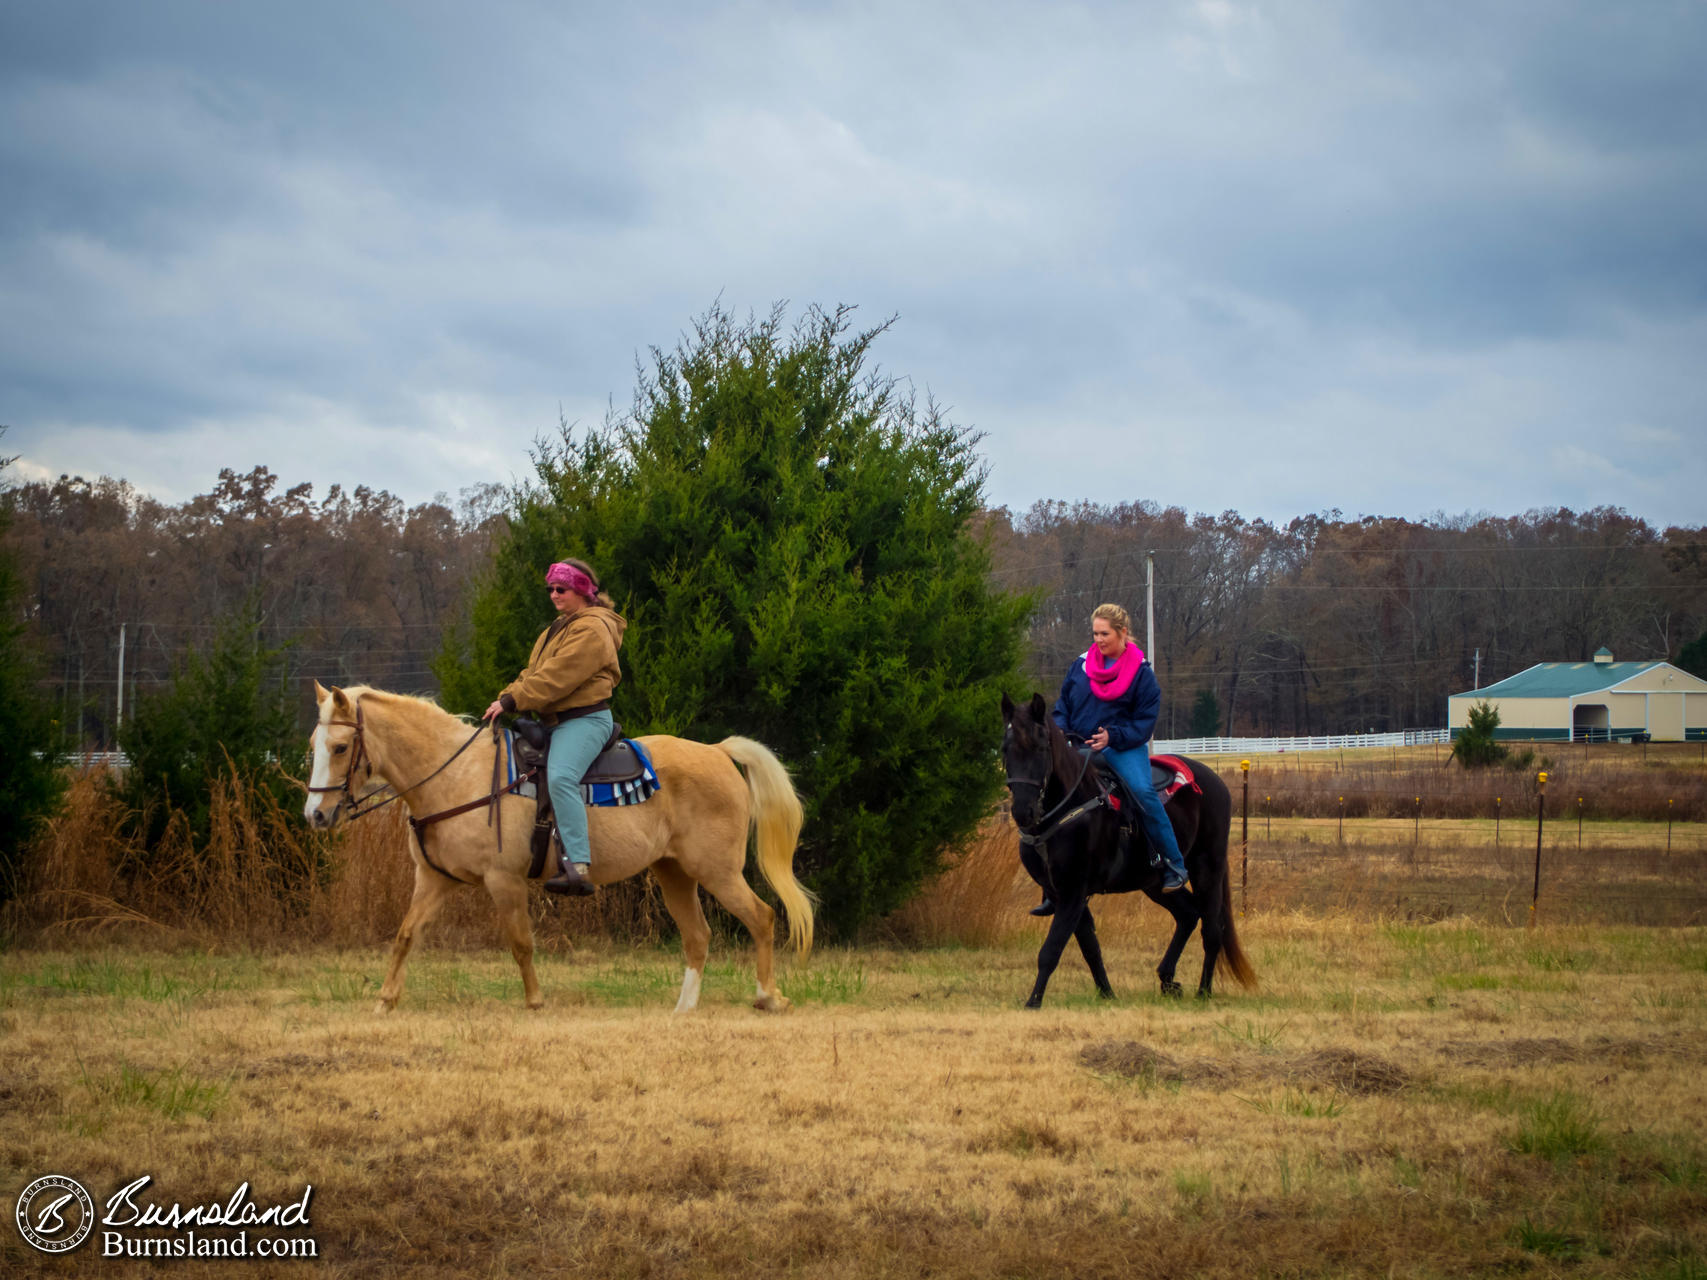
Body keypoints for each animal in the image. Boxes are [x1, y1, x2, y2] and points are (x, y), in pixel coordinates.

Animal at [303, 686, 815, 1017]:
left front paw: (534, 1001)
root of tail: (717, 751)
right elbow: (406, 935)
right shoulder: (434, 880)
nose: (316, 815)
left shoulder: (504, 880)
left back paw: (768, 997)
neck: (457, 776)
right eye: (314, 744)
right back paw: (684, 1008)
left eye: (341, 746)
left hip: (717, 870)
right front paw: (385, 1000)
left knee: (762, 917)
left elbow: (521, 942)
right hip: (674, 873)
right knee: (698, 936)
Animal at [996, 696, 1256, 1010]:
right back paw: (1168, 980)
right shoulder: (1061, 894)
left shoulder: (1073, 891)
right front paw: (1107, 993)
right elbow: (1089, 946)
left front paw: (1033, 1001)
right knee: (1188, 914)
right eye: (1005, 749)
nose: (1023, 811)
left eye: (1040, 747)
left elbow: (1052, 949)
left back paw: (1203, 992)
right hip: (1154, 883)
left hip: (1208, 866)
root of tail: (1215, 782)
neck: (1071, 805)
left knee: (1212, 929)